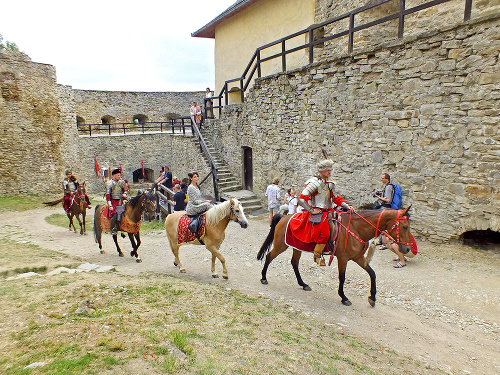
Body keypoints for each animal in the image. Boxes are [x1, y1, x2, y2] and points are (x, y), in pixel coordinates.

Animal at [256, 207, 412, 306]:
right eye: (405, 226)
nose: (407, 248)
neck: (356, 229)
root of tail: (284, 216)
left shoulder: (358, 258)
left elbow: (372, 274)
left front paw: (372, 297)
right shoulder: (343, 259)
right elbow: (342, 278)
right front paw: (343, 297)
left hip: (296, 247)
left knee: (294, 263)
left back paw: (303, 284)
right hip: (281, 245)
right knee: (269, 256)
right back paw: (263, 278)